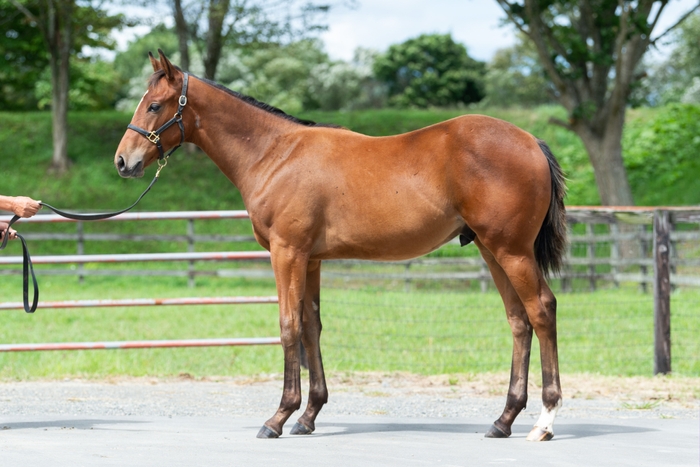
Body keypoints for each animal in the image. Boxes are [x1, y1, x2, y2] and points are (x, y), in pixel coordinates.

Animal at [115, 50, 568, 442]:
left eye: (154, 105)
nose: (123, 162)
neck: (275, 155)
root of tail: (531, 141)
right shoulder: (311, 259)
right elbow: (311, 328)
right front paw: (308, 415)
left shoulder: (287, 253)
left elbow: (288, 327)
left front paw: (278, 417)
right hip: (491, 251)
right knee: (518, 321)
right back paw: (503, 420)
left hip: (511, 251)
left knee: (542, 311)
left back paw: (543, 422)